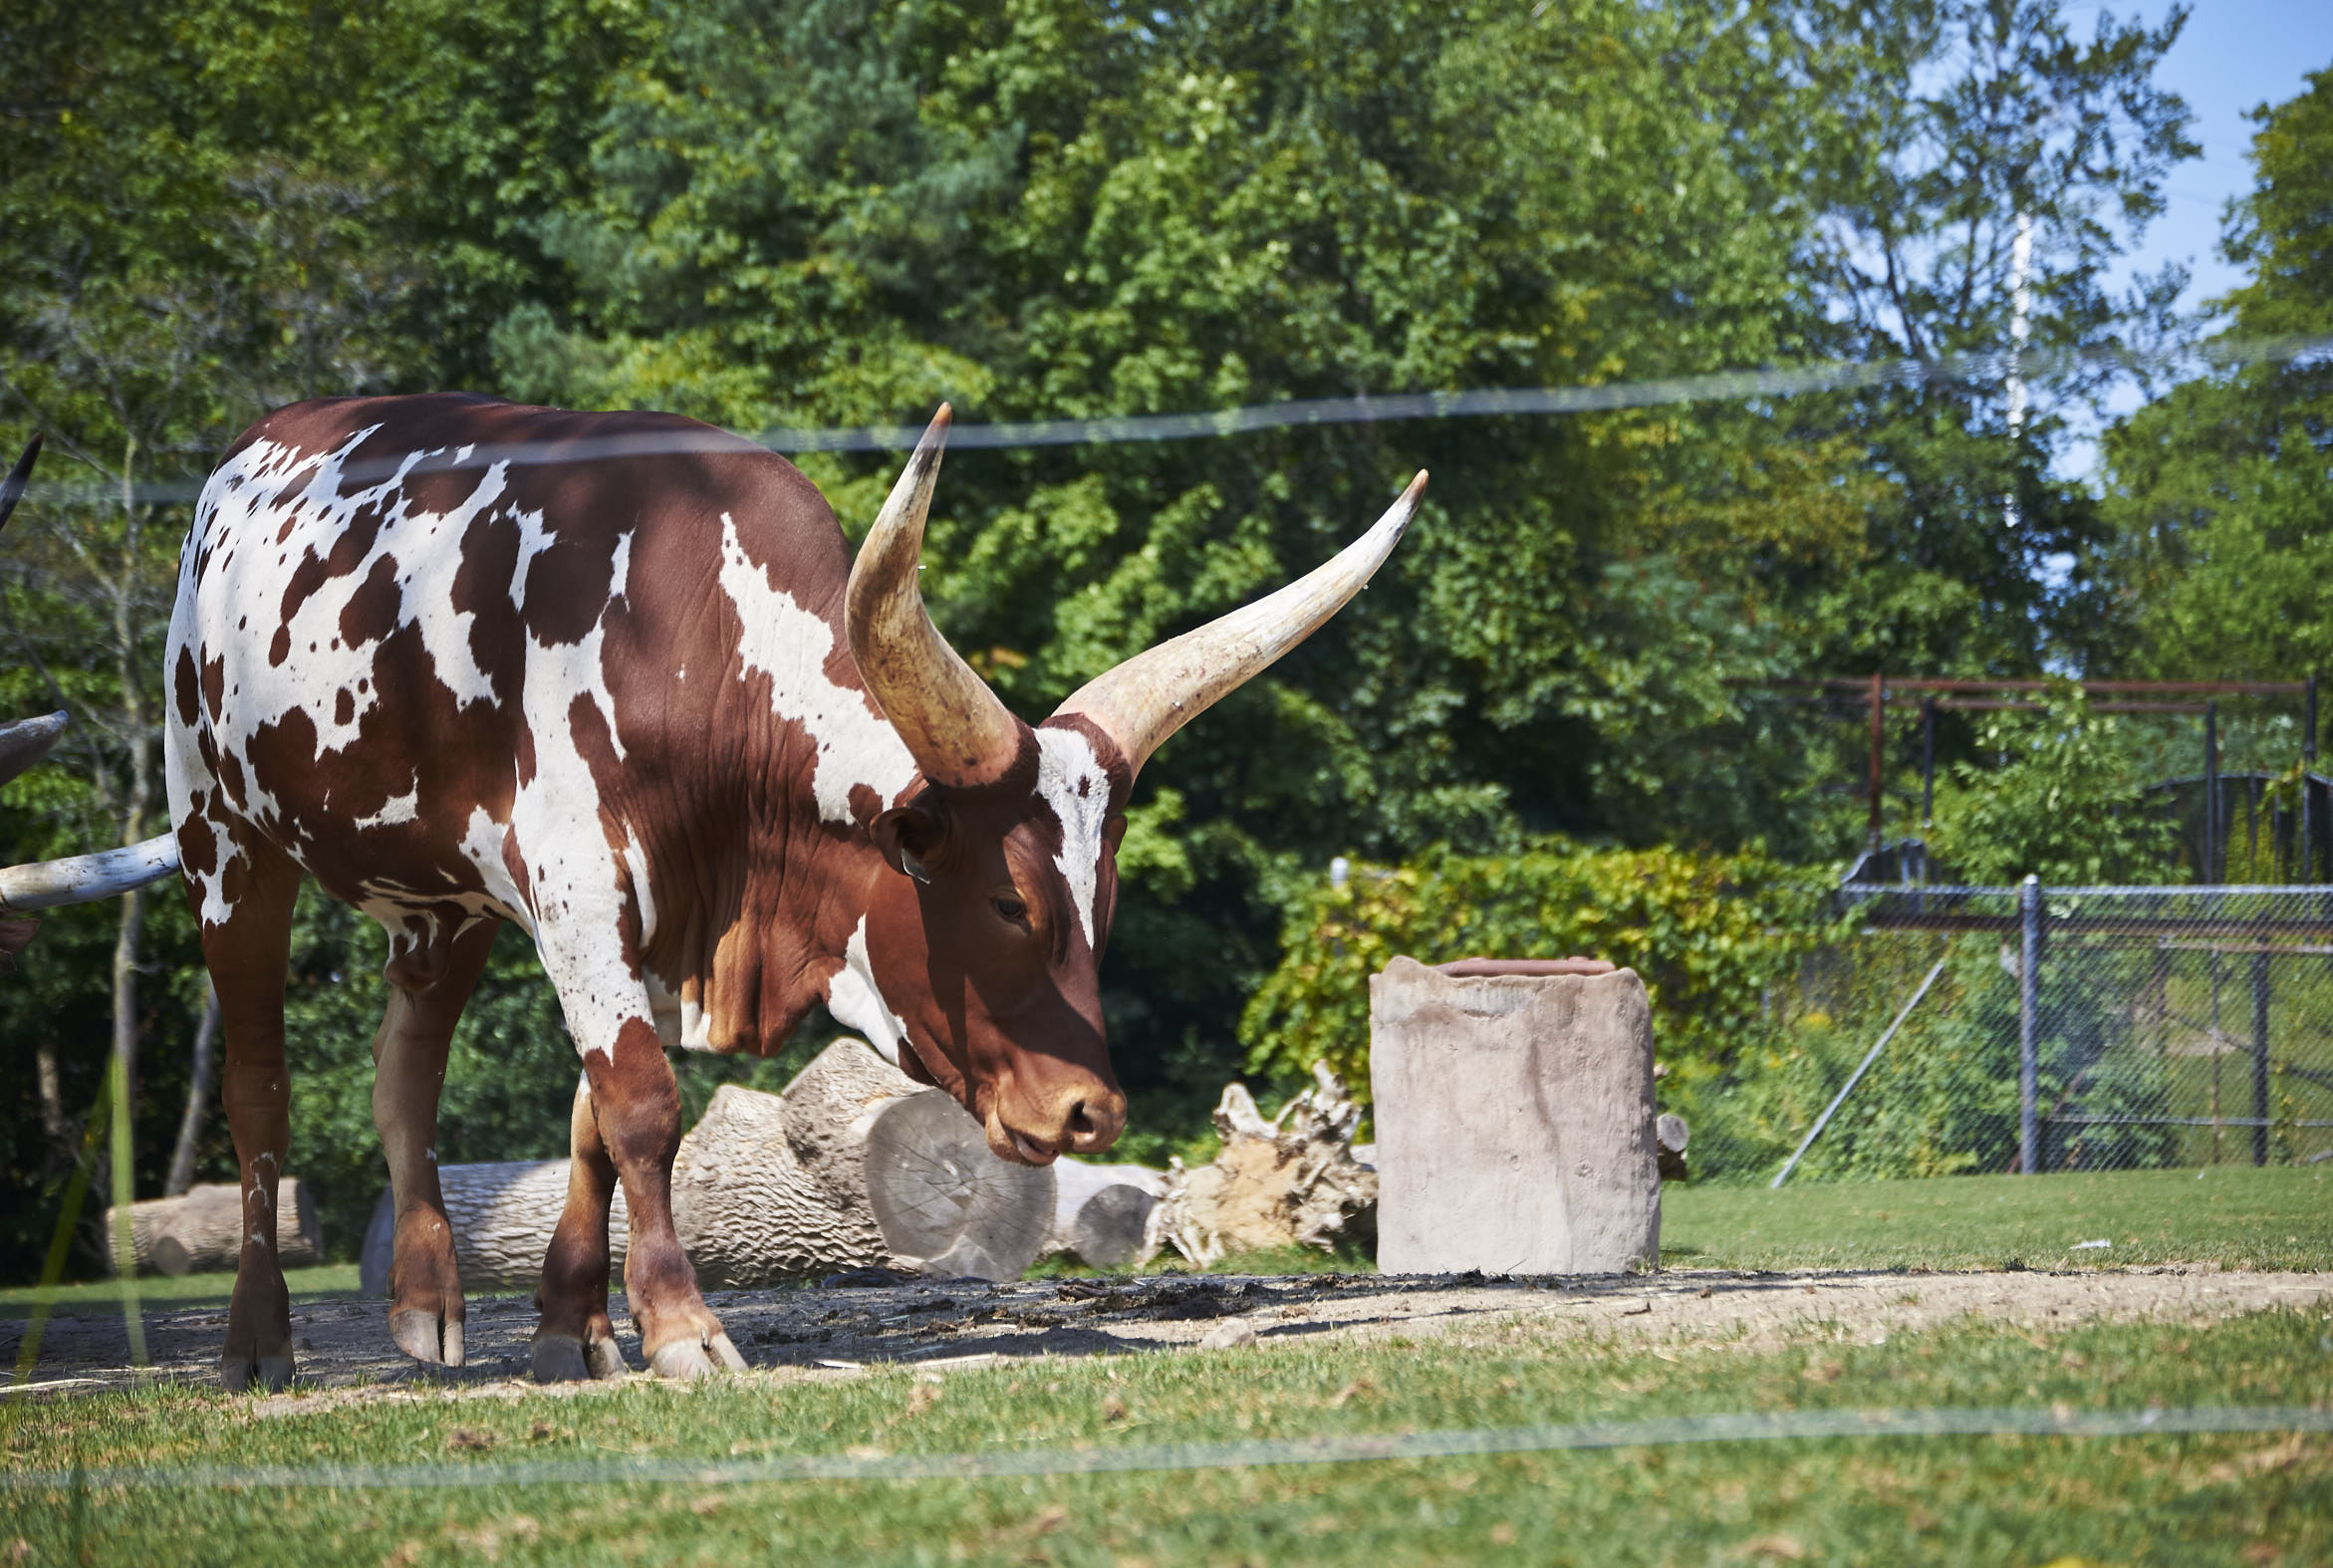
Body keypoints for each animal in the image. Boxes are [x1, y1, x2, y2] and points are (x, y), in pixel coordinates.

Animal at [0, 398, 1418, 1390]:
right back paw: (258, 1344)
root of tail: (248, 456)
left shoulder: (634, 919)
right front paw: (681, 1328)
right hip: (224, 840)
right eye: (1009, 901)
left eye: (1099, 897)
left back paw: (425, 1305)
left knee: (403, 1069)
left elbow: (585, 1118)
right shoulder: (576, 890)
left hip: (439, 901)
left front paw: (570, 1331)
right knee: (259, 1090)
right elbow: (638, 1103)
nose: (1087, 1110)